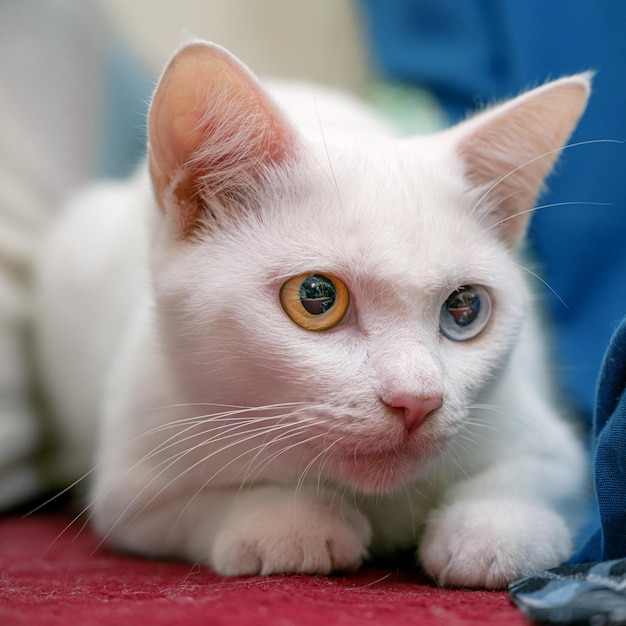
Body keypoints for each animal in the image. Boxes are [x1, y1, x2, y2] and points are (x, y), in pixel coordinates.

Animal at [35, 39, 588, 584]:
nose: (417, 401)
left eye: (465, 307)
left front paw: (494, 529)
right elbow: (193, 505)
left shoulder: (540, 432)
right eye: (315, 297)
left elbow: (540, 473)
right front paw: (291, 521)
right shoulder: (133, 481)